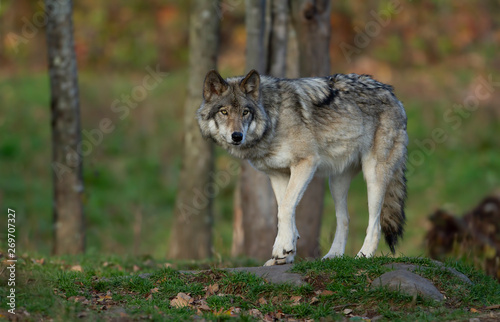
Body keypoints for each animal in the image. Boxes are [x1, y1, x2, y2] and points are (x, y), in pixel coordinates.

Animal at [197, 69, 408, 266]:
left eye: (245, 112)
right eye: (224, 112)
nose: (237, 136)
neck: (273, 119)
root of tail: (392, 94)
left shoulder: (306, 163)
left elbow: (285, 208)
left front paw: (282, 248)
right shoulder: (278, 175)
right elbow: (285, 210)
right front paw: (286, 253)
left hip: (373, 176)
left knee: (375, 224)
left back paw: (363, 256)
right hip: (336, 183)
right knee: (344, 219)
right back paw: (333, 256)